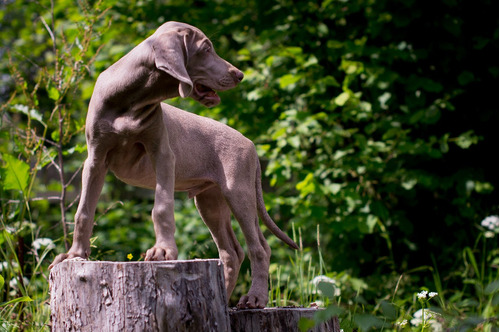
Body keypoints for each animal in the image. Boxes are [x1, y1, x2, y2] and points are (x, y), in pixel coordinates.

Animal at [50, 21, 298, 308]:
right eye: (206, 49)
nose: (240, 75)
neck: (131, 100)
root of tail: (251, 145)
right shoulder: (95, 159)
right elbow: (84, 211)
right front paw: (73, 255)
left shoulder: (162, 153)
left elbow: (162, 206)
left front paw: (163, 251)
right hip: (210, 200)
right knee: (232, 252)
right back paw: (223, 297)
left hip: (239, 191)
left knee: (259, 247)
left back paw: (255, 297)